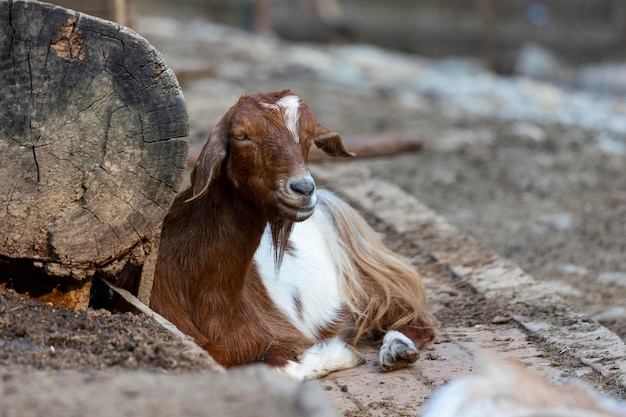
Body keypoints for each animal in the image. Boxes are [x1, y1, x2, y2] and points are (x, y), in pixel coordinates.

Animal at [150, 89, 434, 378]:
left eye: (309, 135)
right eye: (242, 135)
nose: (304, 189)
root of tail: (332, 204)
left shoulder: (282, 335)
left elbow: (278, 367)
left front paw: (343, 352)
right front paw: (342, 351)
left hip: (373, 281)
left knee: (415, 319)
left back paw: (397, 350)